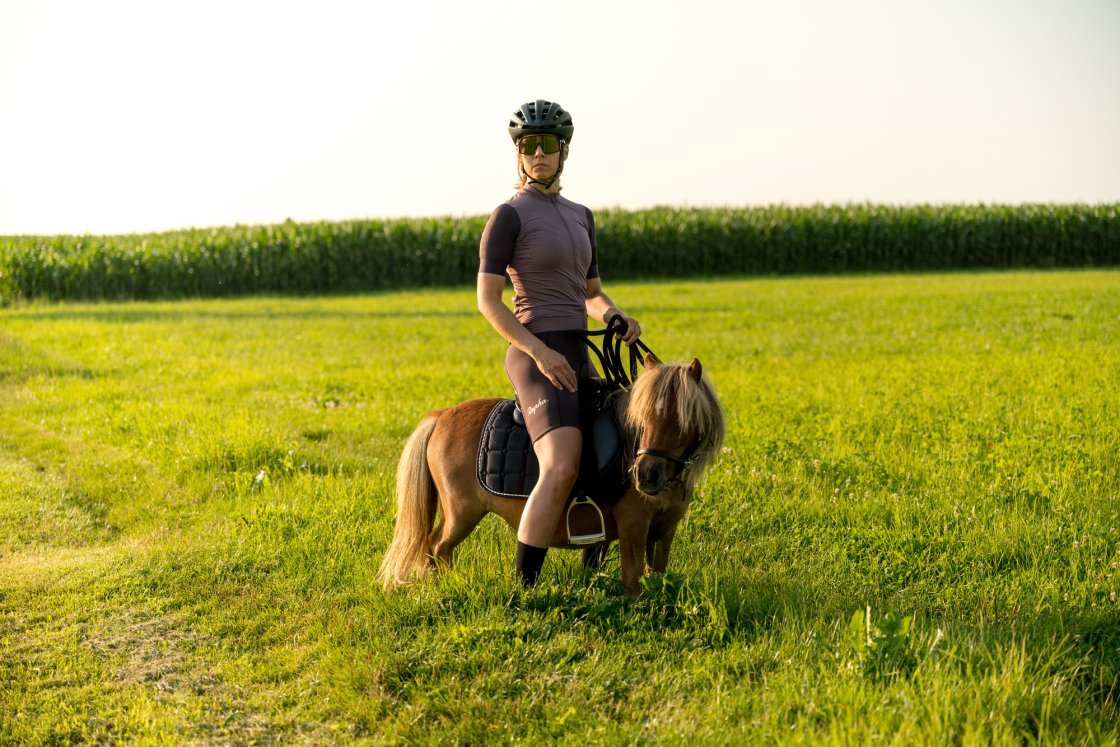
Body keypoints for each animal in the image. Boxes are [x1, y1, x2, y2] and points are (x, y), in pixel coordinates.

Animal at [376, 356, 725, 595]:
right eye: (641, 417)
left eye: (681, 419)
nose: (645, 476)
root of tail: (441, 416)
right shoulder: (633, 526)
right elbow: (633, 578)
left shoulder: (665, 530)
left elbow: (657, 573)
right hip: (461, 513)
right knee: (436, 546)